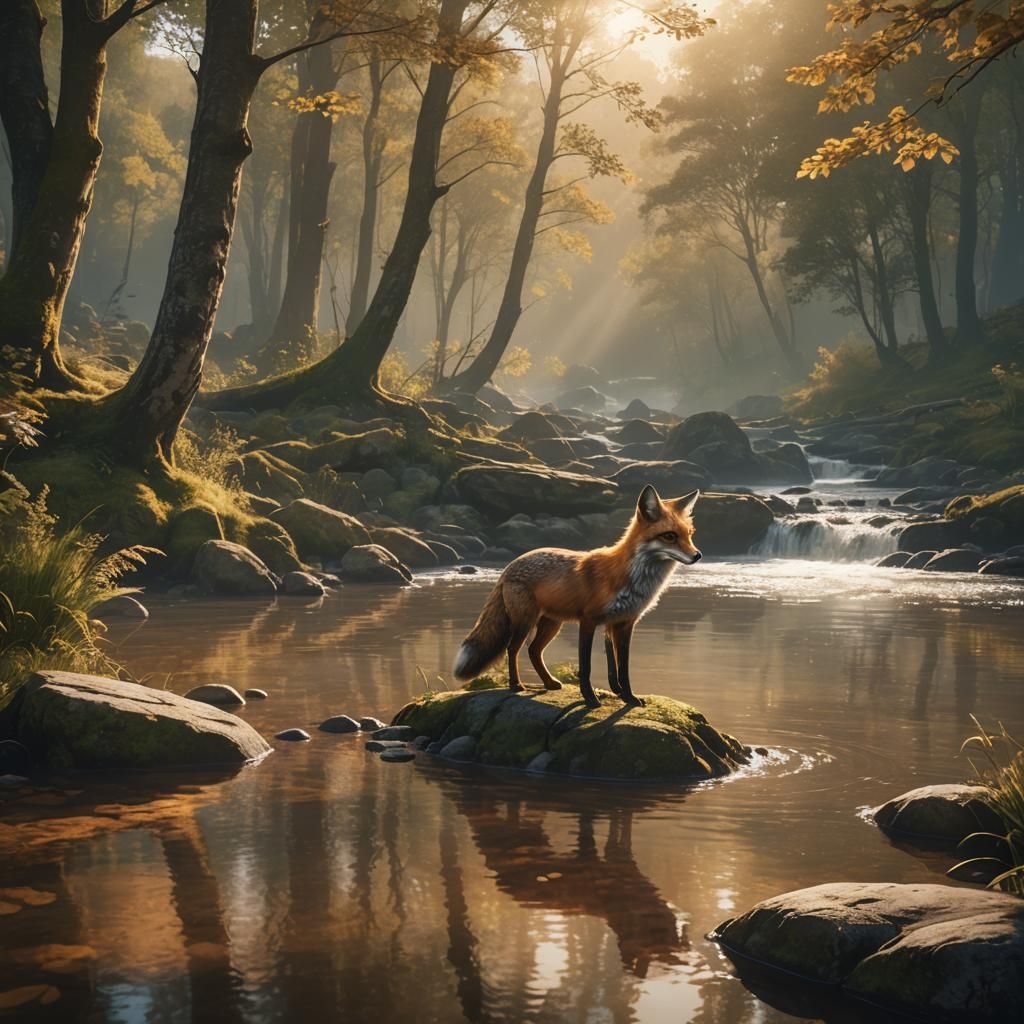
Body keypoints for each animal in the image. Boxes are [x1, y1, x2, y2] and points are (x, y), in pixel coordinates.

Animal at [453, 485, 701, 708]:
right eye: (669, 536)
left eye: (689, 535)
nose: (697, 555)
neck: (630, 578)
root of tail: (510, 565)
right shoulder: (589, 621)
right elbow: (586, 667)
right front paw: (591, 700)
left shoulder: (622, 624)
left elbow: (620, 668)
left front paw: (627, 697)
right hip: (525, 621)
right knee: (512, 649)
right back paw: (516, 685)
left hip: (551, 624)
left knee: (533, 651)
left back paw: (549, 683)